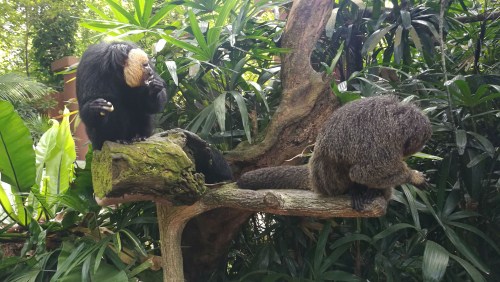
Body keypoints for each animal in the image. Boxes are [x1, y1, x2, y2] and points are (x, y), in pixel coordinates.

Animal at [236, 96, 432, 210]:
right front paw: (413, 176)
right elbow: (365, 172)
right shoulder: (386, 138)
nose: (409, 151)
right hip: (329, 184)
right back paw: (358, 191)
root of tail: (314, 179)